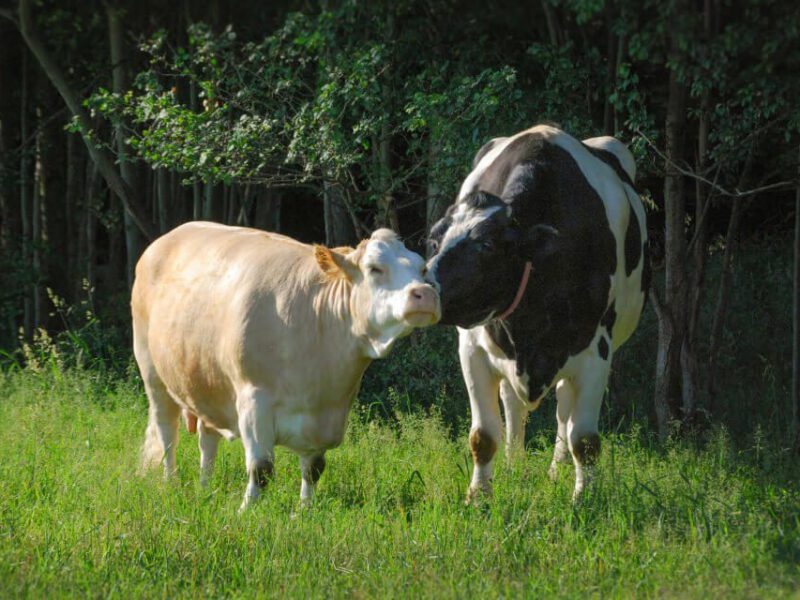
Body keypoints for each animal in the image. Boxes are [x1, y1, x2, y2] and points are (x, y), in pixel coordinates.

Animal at [132, 222, 440, 509]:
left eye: (423, 268)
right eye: (375, 268)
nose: (425, 293)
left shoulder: (330, 412)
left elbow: (314, 469)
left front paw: (304, 510)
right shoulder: (254, 400)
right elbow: (261, 468)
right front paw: (246, 510)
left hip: (206, 383)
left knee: (207, 440)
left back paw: (205, 488)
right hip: (152, 371)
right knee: (167, 433)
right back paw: (171, 482)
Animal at [426, 124, 649, 503]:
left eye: (487, 244)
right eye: (433, 241)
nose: (422, 288)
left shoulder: (596, 353)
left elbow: (585, 441)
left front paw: (583, 499)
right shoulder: (472, 348)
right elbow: (483, 435)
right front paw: (478, 496)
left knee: (563, 411)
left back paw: (556, 470)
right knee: (513, 405)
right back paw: (514, 465)